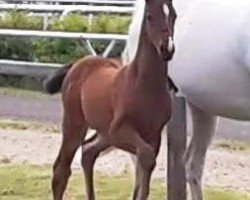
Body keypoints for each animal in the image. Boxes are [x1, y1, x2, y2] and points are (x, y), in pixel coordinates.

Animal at [45, 0, 177, 199]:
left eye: (174, 16)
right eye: (149, 17)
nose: (167, 48)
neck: (143, 85)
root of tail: (77, 64)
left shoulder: (153, 136)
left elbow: (144, 174)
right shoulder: (118, 131)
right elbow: (146, 158)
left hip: (103, 132)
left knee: (88, 152)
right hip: (75, 124)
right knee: (61, 169)